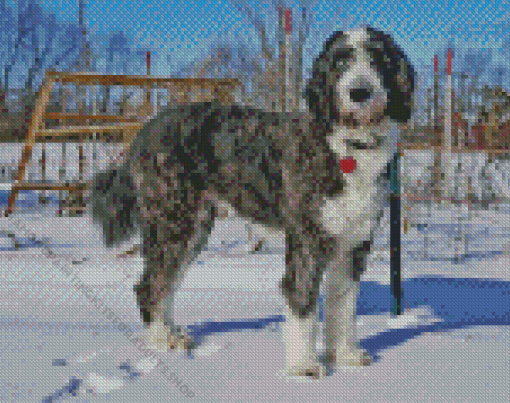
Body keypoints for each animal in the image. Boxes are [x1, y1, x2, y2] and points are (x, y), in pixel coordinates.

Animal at [90, 27, 414, 378]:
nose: (359, 92)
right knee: (150, 285)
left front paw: (345, 356)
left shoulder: (354, 243)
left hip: (194, 229)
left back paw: (173, 333)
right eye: (340, 61)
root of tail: (147, 128)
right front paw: (304, 366)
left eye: (378, 59)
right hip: (172, 221)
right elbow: (302, 302)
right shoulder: (308, 242)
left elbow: (344, 305)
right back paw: (161, 340)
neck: (347, 148)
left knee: (167, 284)